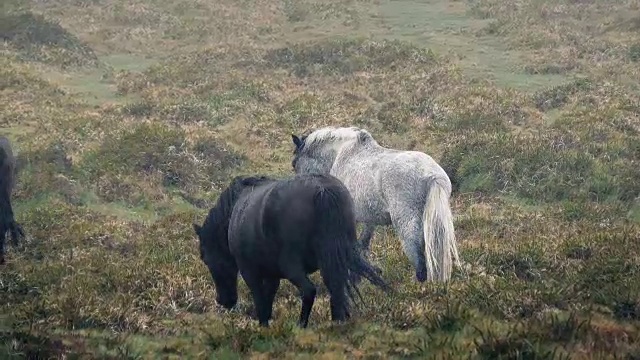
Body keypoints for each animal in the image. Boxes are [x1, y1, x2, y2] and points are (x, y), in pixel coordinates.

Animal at [191, 173, 390, 328]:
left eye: (205, 258)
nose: (224, 301)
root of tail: (322, 190)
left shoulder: (250, 271)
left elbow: (260, 300)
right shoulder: (272, 275)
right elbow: (268, 299)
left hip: (292, 266)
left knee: (309, 290)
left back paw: (301, 326)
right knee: (336, 289)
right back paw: (337, 323)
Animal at [290, 126, 460, 284]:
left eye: (294, 163)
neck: (341, 153)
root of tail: (432, 175)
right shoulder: (369, 220)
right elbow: (363, 245)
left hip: (406, 224)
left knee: (419, 260)